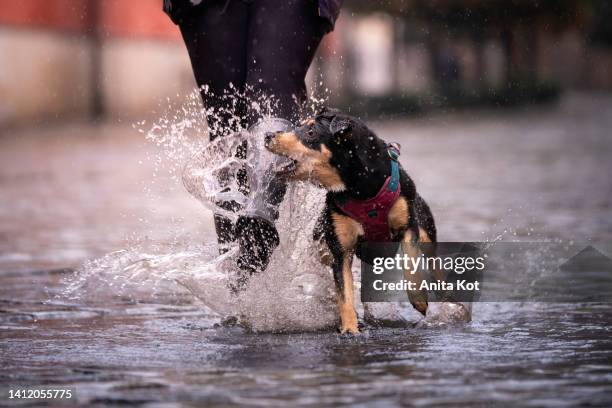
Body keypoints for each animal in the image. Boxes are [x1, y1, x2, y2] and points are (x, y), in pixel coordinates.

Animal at [266, 108, 438, 334]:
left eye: (311, 132)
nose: (268, 135)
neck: (360, 188)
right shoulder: (341, 250)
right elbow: (345, 294)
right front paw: (349, 329)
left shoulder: (408, 227)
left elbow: (411, 263)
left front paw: (419, 300)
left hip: (426, 232)